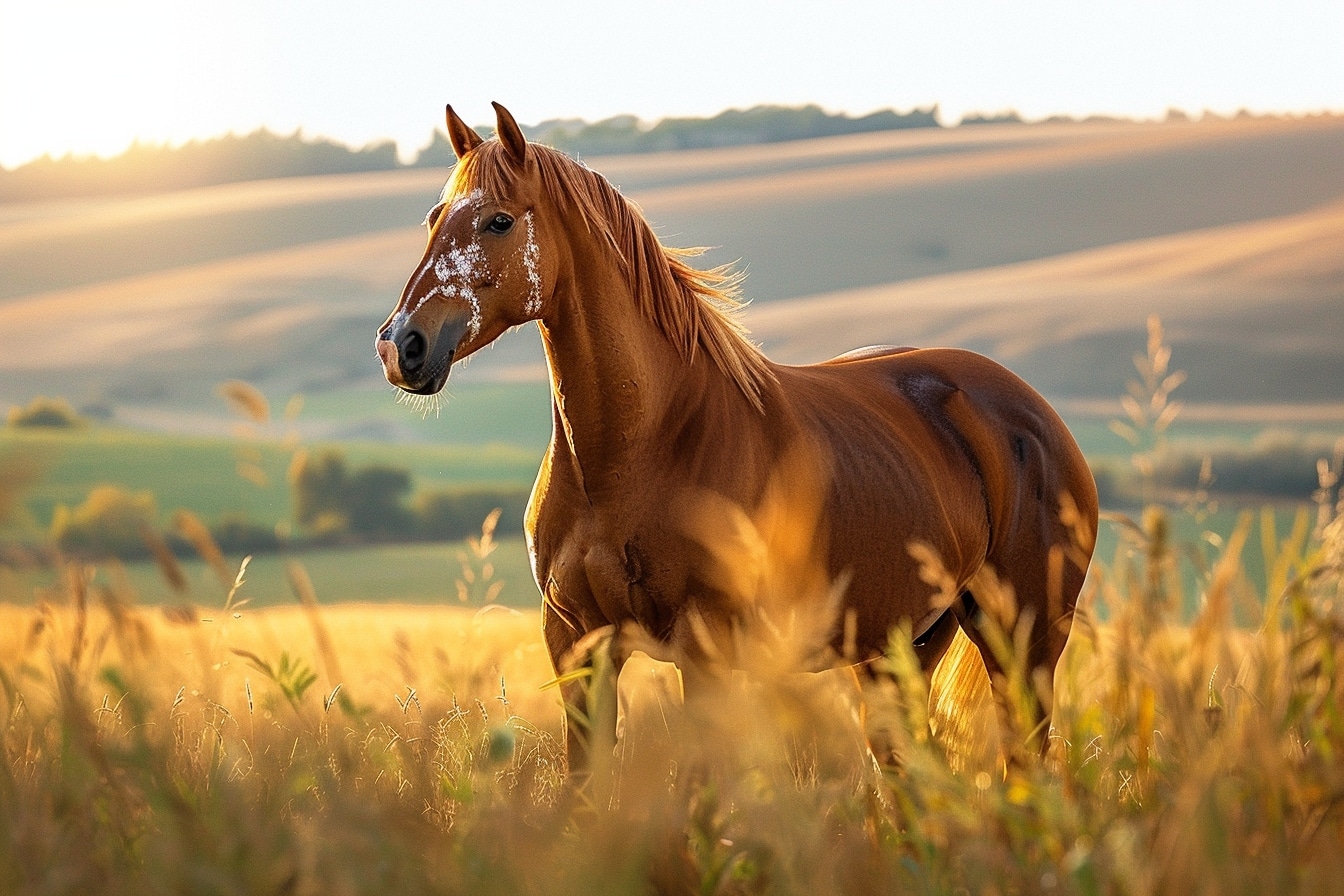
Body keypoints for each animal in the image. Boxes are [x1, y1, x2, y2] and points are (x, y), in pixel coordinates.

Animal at [373, 103, 1096, 779]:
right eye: (433, 218)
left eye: (498, 221)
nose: (401, 345)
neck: (637, 452)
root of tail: (1036, 416)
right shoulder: (578, 646)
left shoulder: (705, 650)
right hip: (901, 649)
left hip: (1022, 644)